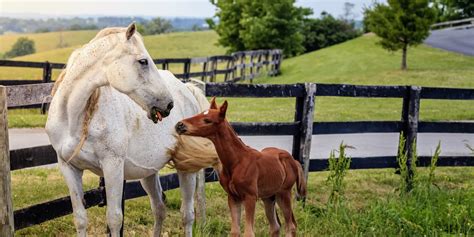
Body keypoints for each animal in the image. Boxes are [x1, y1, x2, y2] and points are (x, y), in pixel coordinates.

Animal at [45, 22, 217, 237]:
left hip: (186, 169)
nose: (168, 104)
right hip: (149, 173)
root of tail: (188, 90)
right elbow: (80, 219)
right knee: (159, 209)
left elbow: (114, 219)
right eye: (143, 61)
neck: (74, 119)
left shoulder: (113, 167)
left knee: (187, 214)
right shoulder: (69, 167)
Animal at [176, 97, 306, 236]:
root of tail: (293, 160)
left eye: (207, 120)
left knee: (290, 226)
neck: (237, 161)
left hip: (284, 193)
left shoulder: (250, 197)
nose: (180, 125)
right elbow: (235, 231)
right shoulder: (233, 198)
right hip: (268, 197)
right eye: (199, 113)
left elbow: (248, 233)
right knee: (275, 227)